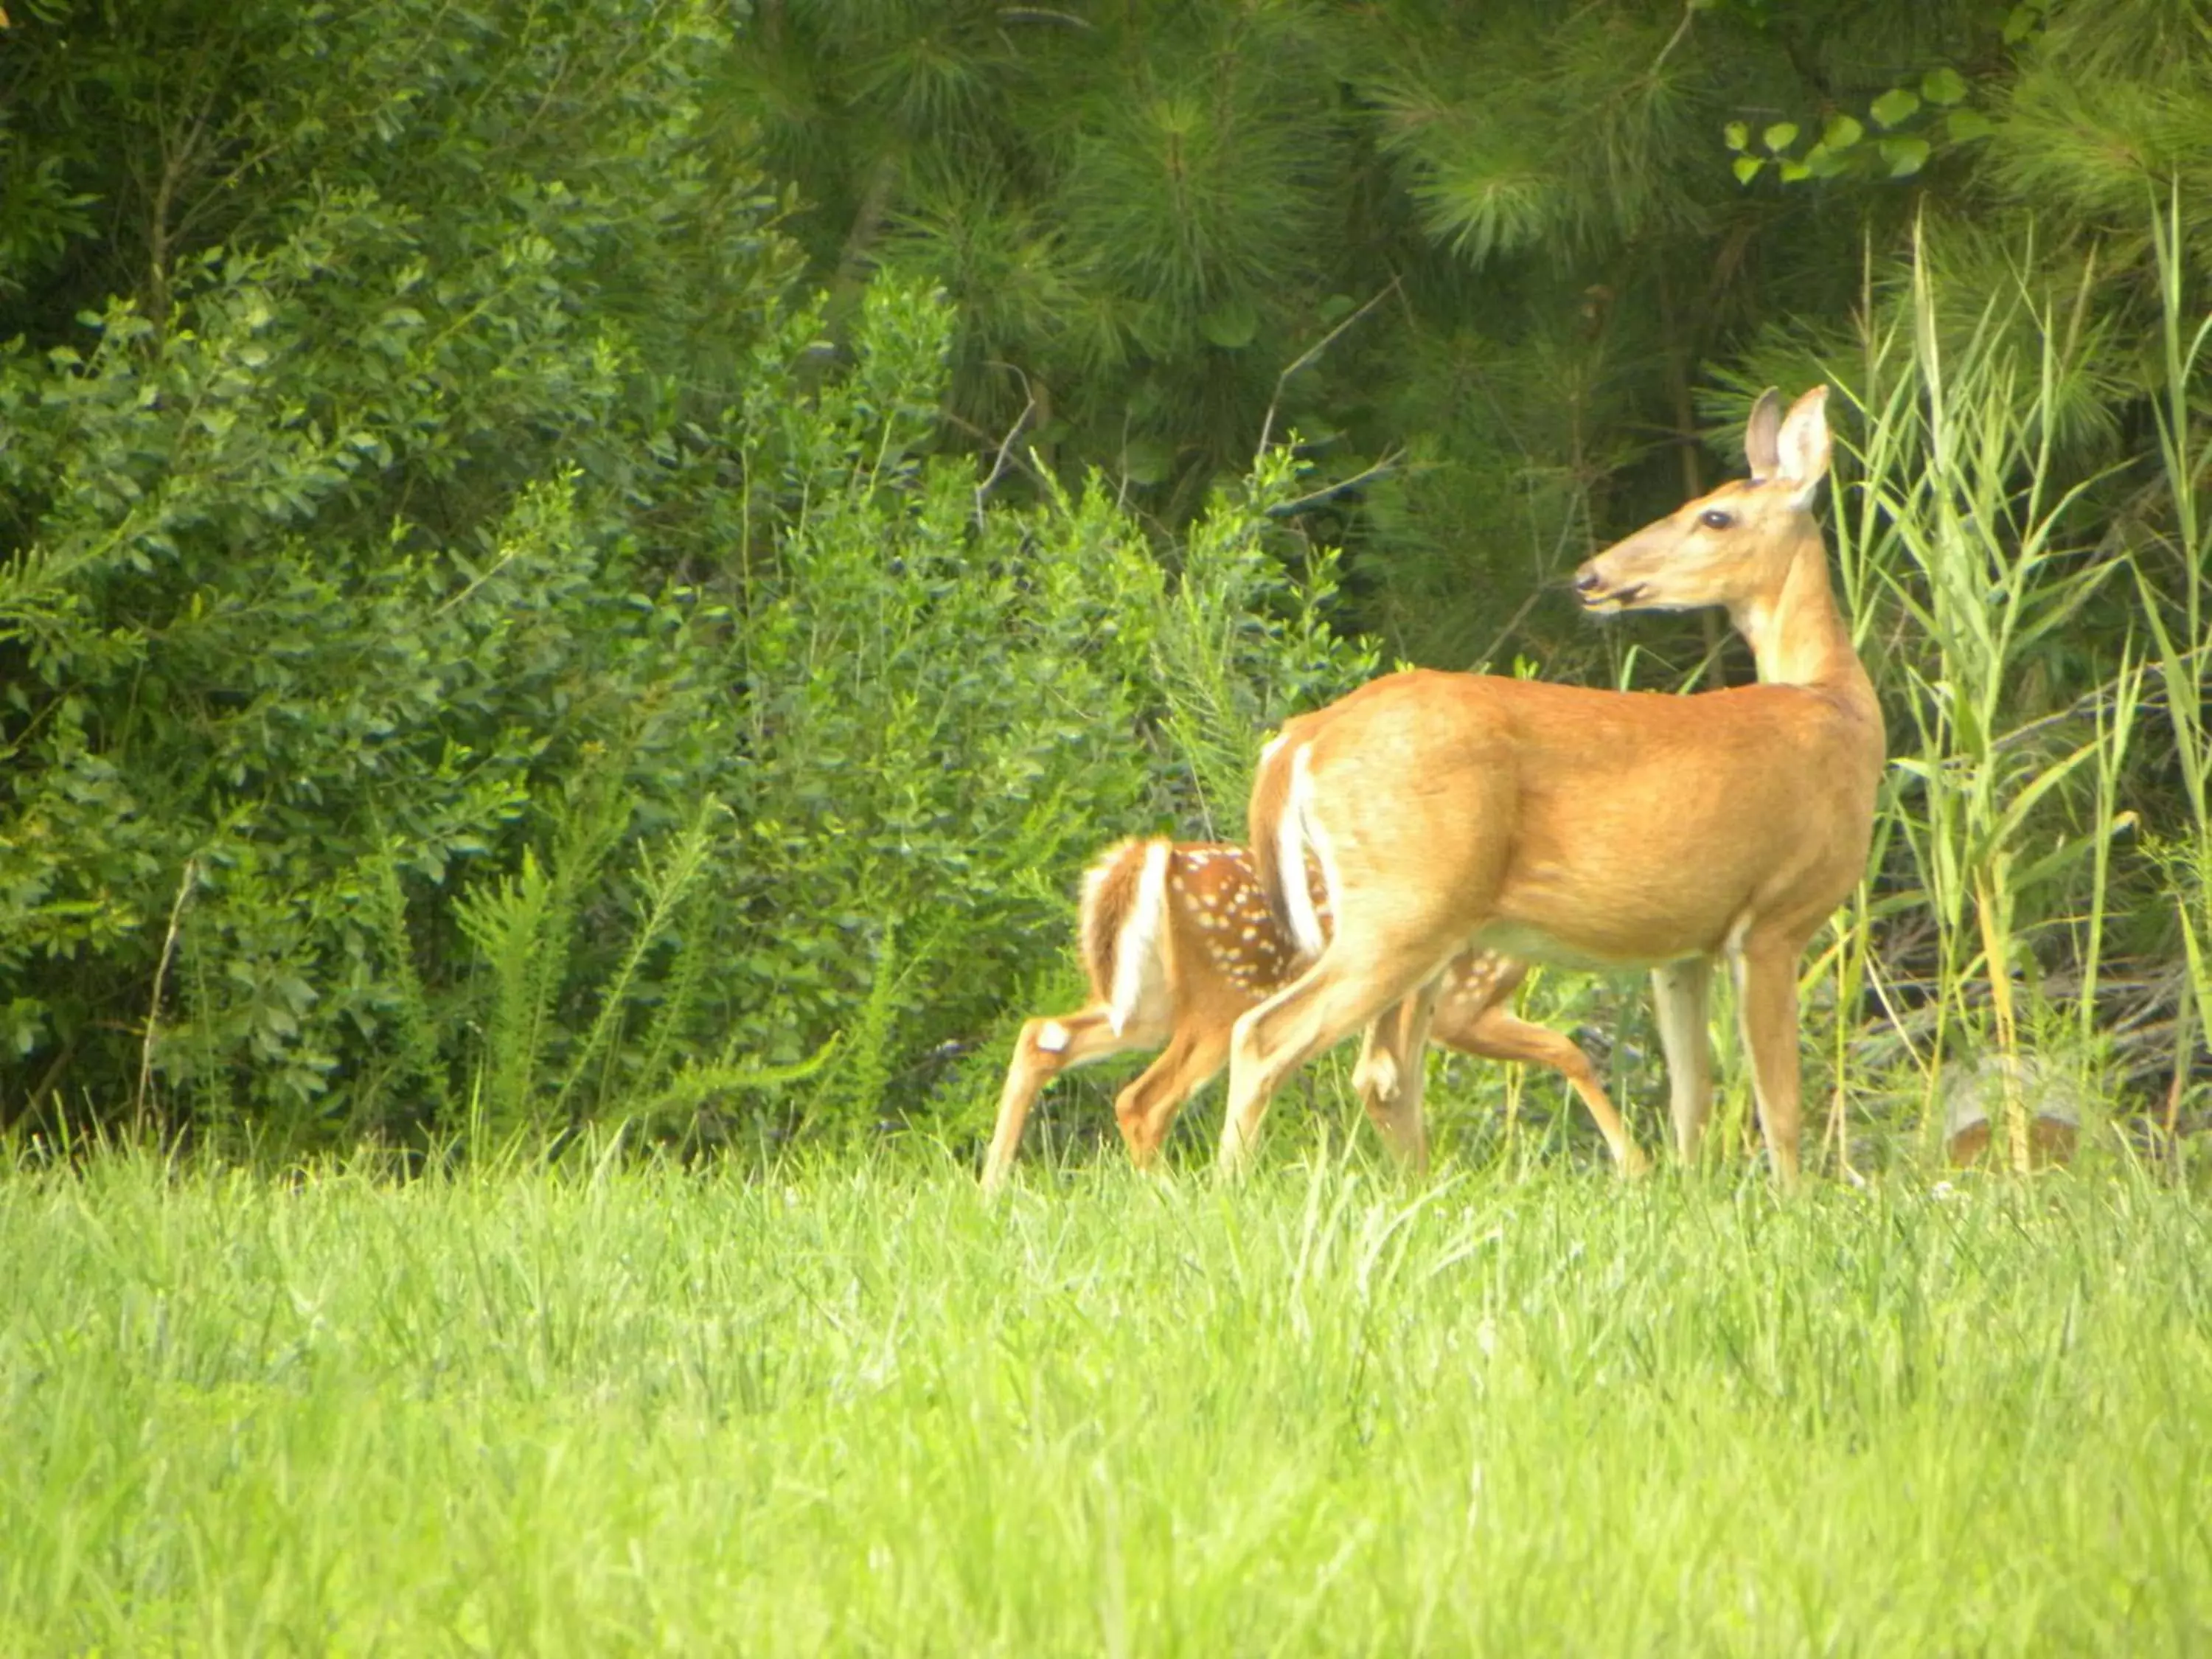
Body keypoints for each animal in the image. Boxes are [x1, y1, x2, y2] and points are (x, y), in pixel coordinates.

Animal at [987, 845, 1646, 1194]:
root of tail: (1159, 856)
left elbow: (1387, 1085)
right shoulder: (1465, 1007)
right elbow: (1569, 1050)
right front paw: (1634, 1165)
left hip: (1147, 1002)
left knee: (1041, 1037)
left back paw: (992, 1188)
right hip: (1226, 997)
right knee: (1145, 1098)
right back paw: (1170, 1196)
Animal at [1221, 387, 1876, 1194]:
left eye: (1714, 516)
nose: (1591, 576)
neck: (1839, 709)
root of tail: (1302, 736)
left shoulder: (1682, 948)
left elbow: (1692, 1094)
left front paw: (1689, 1191)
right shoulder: (1776, 918)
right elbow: (1778, 1100)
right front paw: (1789, 1201)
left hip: (1418, 922)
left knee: (1381, 1070)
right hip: (1405, 905)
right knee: (1267, 1035)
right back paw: (1230, 1187)